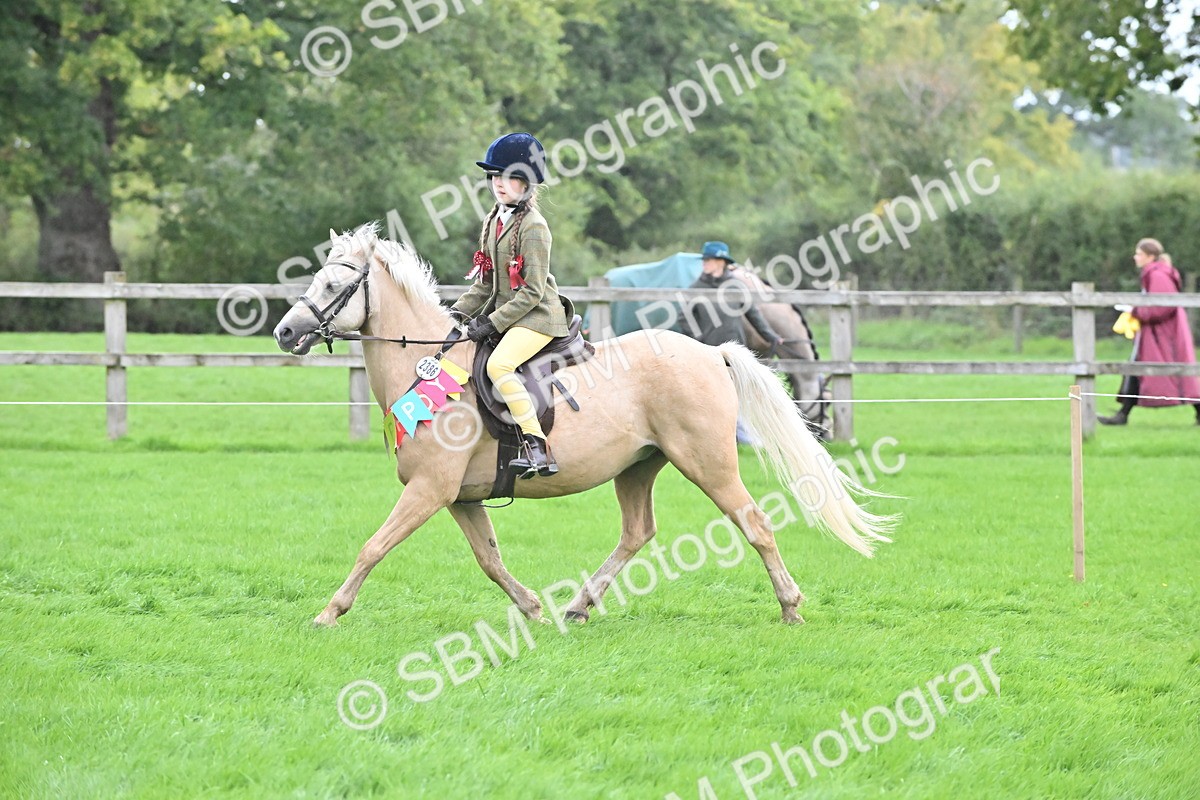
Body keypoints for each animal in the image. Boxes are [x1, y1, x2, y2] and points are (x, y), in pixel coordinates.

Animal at [272, 224, 894, 627]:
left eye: (334, 286)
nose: (284, 332)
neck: (426, 366)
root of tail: (711, 352)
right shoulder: (459, 498)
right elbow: (490, 560)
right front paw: (531, 607)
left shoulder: (429, 490)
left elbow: (373, 547)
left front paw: (329, 612)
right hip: (639, 466)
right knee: (637, 532)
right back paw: (578, 604)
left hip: (708, 463)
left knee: (755, 523)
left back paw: (790, 605)